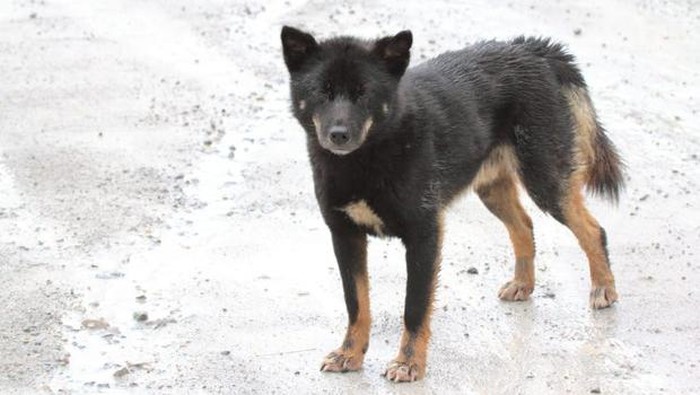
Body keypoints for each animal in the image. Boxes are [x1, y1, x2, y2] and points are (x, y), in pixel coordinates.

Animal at [278, 27, 624, 384]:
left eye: (364, 93)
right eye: (322, 91)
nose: (338, 135)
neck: (369, 157)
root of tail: (533, 49)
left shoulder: (424, 235)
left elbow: (414, 307)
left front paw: (409, 363)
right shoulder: (345, 235)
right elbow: (356, 303)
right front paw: (350, 354)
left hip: (546, 181)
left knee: (593, 230)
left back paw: (603, 288)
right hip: (491, 187)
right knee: (524, 225)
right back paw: (523, 284)